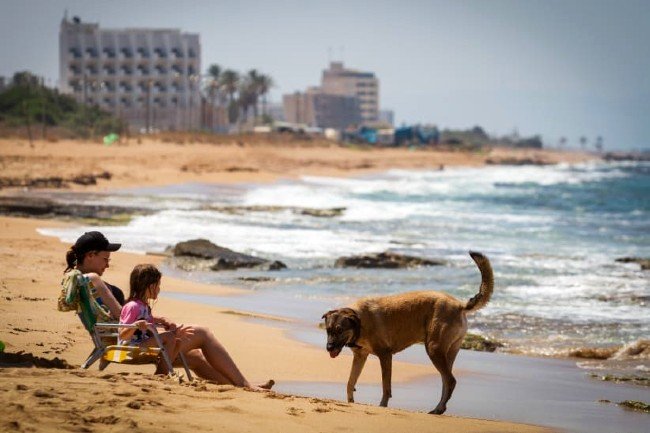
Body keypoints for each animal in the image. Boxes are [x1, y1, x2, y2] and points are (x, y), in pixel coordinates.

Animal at [322, 251, 494, 414]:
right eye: (328, 330)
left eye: (340, 330)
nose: (329, 348)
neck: (358, 322)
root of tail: (459, 305)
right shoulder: (360, 357)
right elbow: (350, 381)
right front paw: (350, 401)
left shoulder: (385, 355)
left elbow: (386, 386)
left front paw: (382, 405)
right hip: (448, 352)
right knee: (446, 381)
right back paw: (439, 408)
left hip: (434, 349)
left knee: (450, 381)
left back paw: (438, 409)